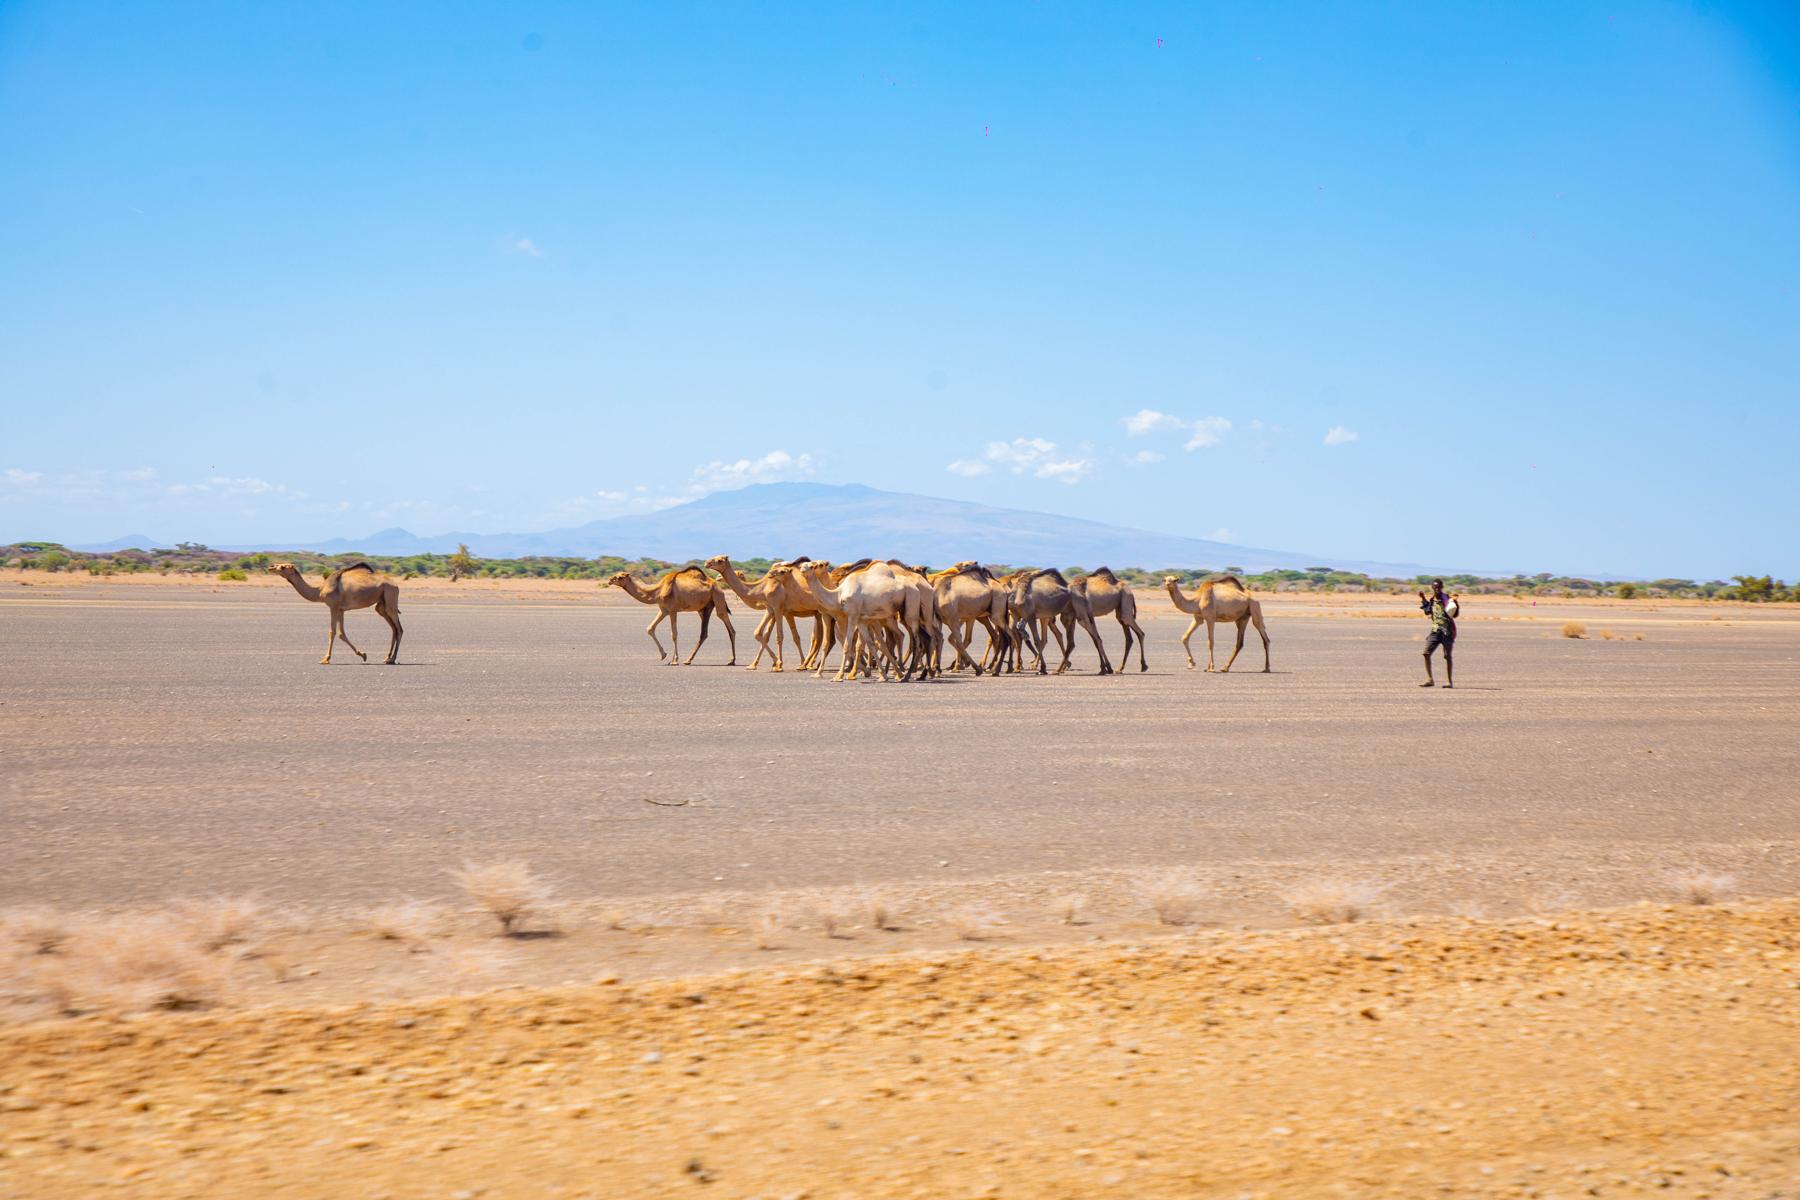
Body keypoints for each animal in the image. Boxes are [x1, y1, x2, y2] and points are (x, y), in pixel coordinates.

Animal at [268, 561, 403, 665]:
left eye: (283, 567)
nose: (271, 566)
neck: (320, 590)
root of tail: (396, 585)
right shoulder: (340, 609)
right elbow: (341, 633)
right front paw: (362, 655)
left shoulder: (333, 607)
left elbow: (332, 632)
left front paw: (325, 659)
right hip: (381, 606)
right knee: (393, 628)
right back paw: (387, 658)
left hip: (390, 597)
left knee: (399, 629)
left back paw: (392, 659)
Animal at [606, 566, 737, 666]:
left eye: (620, 577)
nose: (609, 580)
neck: (658, 591)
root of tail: (718, 586)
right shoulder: (664, 610)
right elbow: (650, 628)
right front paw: (663, 655)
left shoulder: (673, 610)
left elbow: (674, 634)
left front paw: (674, 660)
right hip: (703, 608)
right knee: (705, 633)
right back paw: (689, 660)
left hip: (718, 598)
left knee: (728, 627)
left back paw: (731, 661)